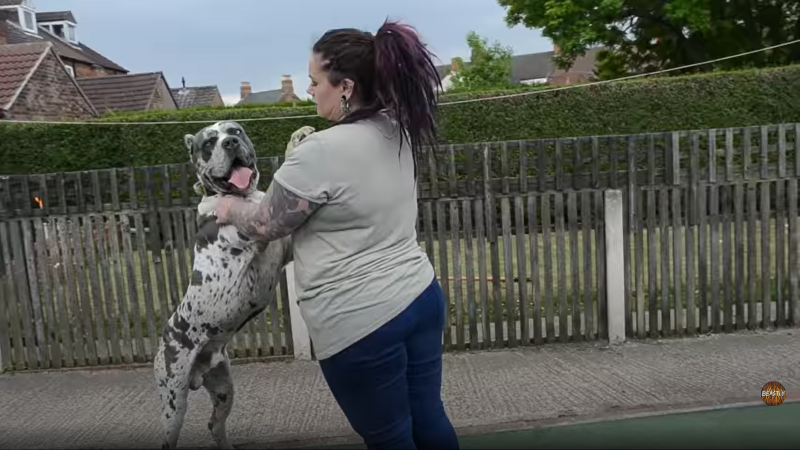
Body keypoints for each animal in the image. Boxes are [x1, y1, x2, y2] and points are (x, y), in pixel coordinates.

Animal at [153, 121, 316, 448]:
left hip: (223, 389)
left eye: (235, 130)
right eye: (208, 143)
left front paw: (297, 138)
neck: (242, 197)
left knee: (215, 424)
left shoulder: (283, 244)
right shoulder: (256, 229)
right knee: (169, 437)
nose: (229, 143)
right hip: (174, 399)